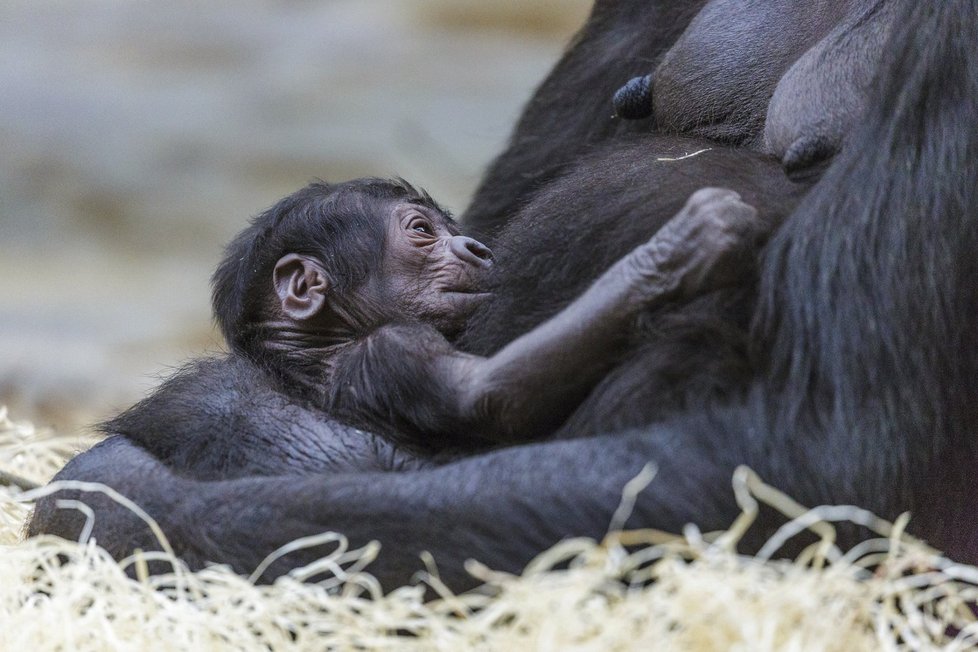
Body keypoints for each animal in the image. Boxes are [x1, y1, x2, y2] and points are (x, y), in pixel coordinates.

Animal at [206, 181, 756, 450]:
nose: (476, 247)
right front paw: (682, 246)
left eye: (453, 228)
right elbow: (491, 395)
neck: (321, 349)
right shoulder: (393, 351)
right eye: (422, 230)